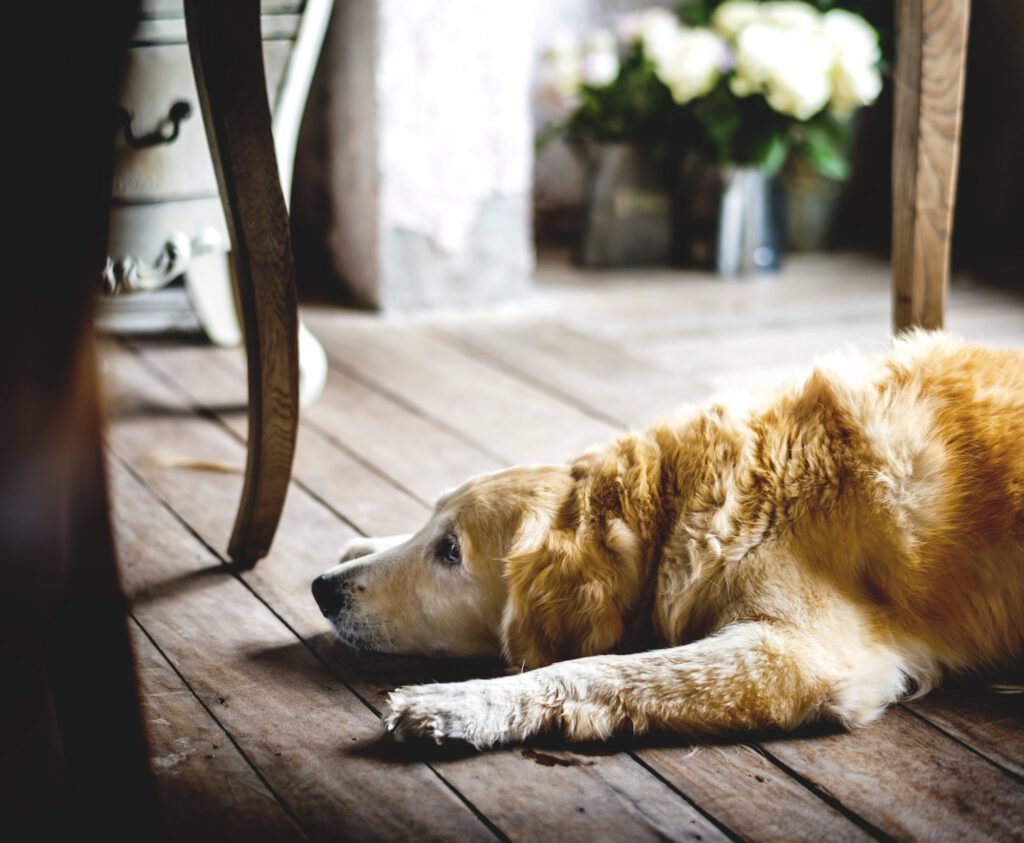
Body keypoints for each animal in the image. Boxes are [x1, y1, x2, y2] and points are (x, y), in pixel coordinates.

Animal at [311, 333, 1024, 749]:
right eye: (432, 527)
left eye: (451, 553)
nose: (321, 590)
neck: (676, 503)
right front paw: (363, 542)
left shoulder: (802, 656)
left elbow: (596, 668)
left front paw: (463, 703)